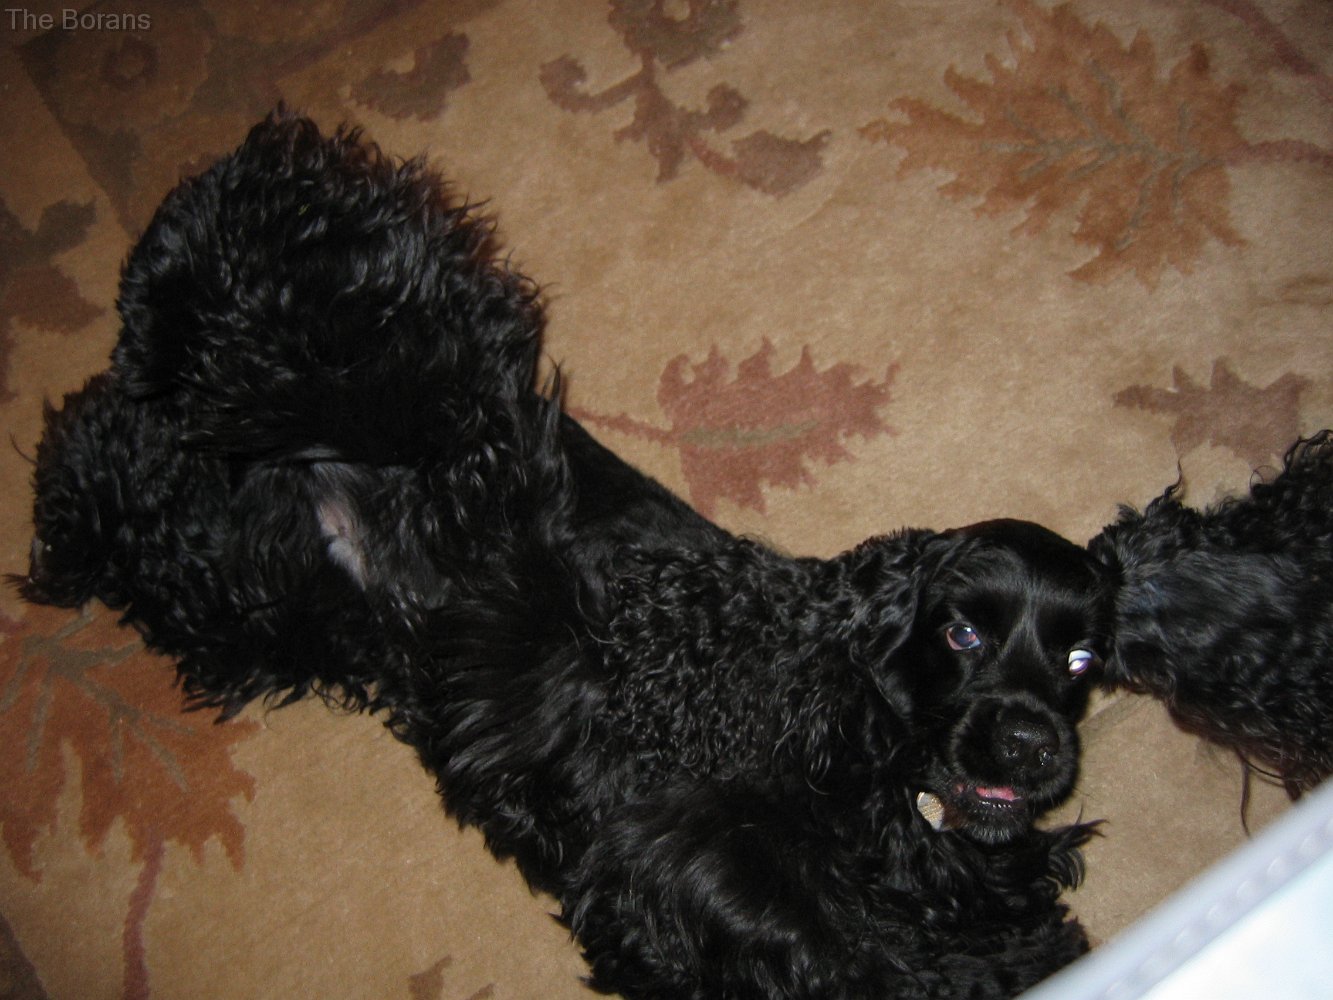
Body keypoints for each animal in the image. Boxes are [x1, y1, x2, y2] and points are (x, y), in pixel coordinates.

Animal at [16, 113, 1330, 997]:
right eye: (961, 629)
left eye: (1079, 658)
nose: (1028, 743)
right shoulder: (685, 830)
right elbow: (835, 943)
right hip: (360, 353)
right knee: (213, 270)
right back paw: (172, 272)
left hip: (240, 583)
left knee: (120, 442)